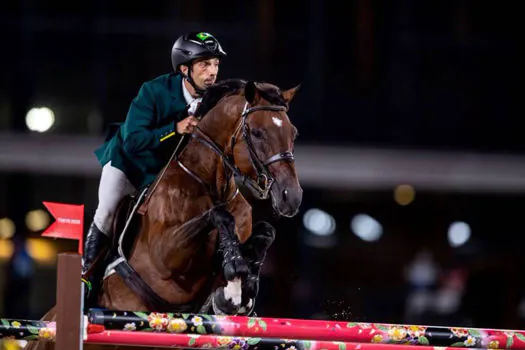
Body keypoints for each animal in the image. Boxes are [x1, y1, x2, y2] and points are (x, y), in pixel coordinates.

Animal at [25, 79, 302, 350]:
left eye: (293, 134)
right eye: (257, 132)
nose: (292, 197)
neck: (211, 184)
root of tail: (47, 323)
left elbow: (265, 232)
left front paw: (243, 288)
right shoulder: (165, 256)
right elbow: (219, 216)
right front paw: (234, 278)